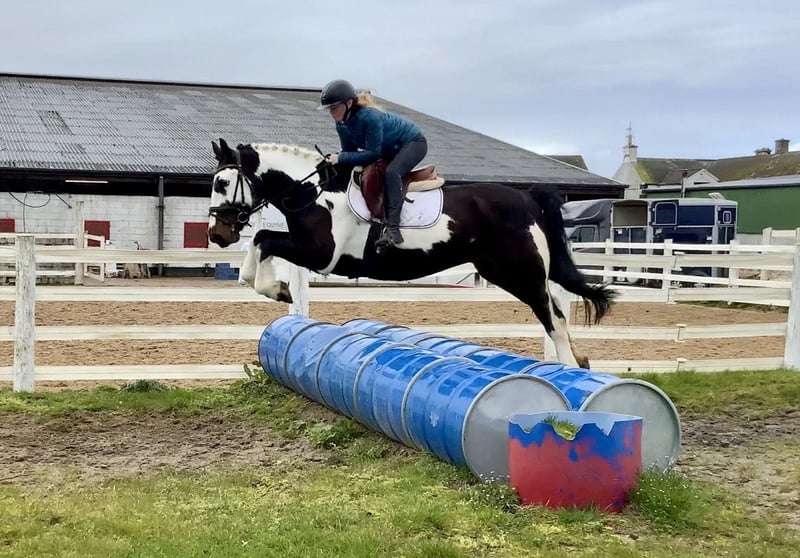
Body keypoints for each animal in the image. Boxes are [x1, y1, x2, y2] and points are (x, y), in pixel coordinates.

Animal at [206, 138, 616, 368]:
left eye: (222, 183)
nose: (217, 233)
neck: (313, 192)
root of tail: (527, 196)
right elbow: (261, 240)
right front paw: (272, 286)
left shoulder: (321, 254)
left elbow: (263, 240)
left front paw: (278, 290)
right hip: (501, 270)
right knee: (555, 313)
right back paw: (579, 363)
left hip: (522, 272)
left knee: (554, 317)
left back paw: (570, 370)